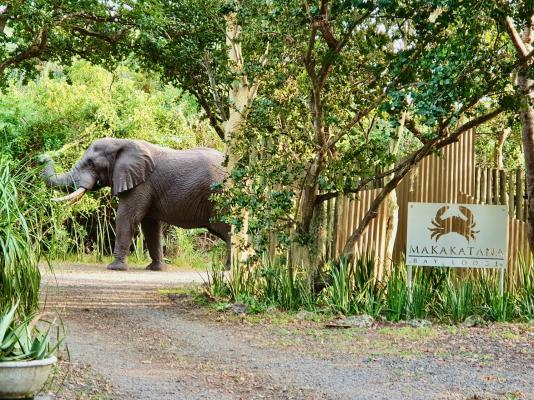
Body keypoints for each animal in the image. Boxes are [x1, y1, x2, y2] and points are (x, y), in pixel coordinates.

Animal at [42, 138, 232, 272]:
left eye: (91, 163)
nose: (42, 157)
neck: (121, 142)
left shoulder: (140, 184)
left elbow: (127, 218)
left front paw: (115, 268)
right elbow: (150, 226)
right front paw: (156, 269)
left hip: (220, 195)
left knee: (227, 229)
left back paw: (228, 269)